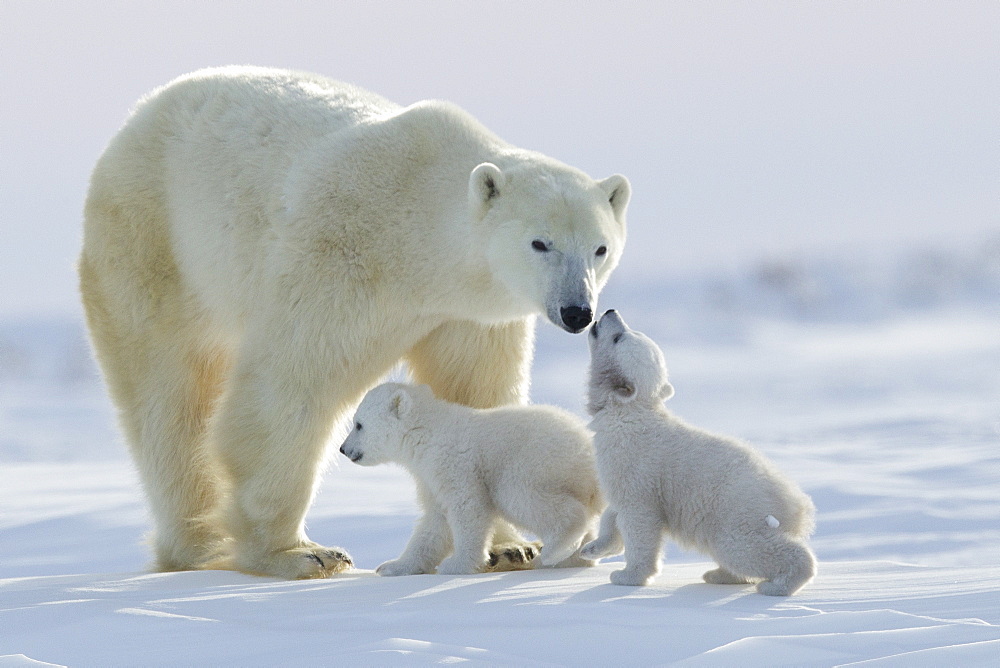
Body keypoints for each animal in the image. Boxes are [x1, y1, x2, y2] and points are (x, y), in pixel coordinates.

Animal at [80, 69, 624, 580]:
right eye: (540, 243)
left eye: (599, 248)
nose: (578, 312)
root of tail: (138, 117)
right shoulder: (342, 256)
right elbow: (291, 386)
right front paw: (297, 553)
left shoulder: (468, 316)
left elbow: (476, 394)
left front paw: (513, 547)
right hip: (156, 243)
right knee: (170, 397)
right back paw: (201, 547)